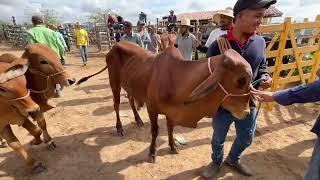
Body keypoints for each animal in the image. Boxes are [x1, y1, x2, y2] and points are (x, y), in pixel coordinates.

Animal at [77, 41, 252, 162]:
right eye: (241, 80)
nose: (247, 112)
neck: (175, 78)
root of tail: (114, 46)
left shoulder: (171, 112)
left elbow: (170, 128)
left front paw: (173, 146)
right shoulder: (152, 109)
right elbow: (155, 131)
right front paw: (152, 152)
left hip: (130, 85)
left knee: (131, 101)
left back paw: (138, 120)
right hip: (114, 83)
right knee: (116, 105)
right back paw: (119, 127)